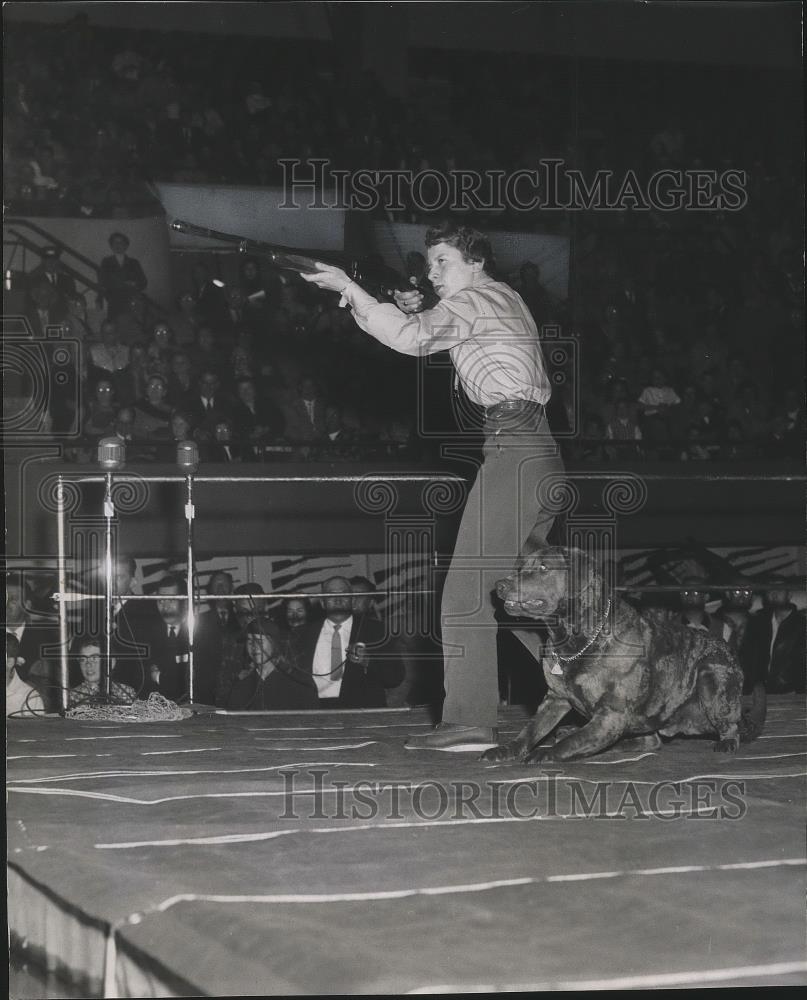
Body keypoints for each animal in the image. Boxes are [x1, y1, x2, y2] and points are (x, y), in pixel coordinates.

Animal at [480, 548, 752, 764]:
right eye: (521, 567)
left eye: (544, 567)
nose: (500, 585)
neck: (575, 641)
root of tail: (727, 647)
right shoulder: (555, 699)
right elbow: (531, 730)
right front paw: (506, 749)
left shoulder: (611, 714)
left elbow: (573, 741)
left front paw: (545, 753)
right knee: (650, 741)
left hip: (711, 678)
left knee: (732, 724)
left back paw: (726, 741)